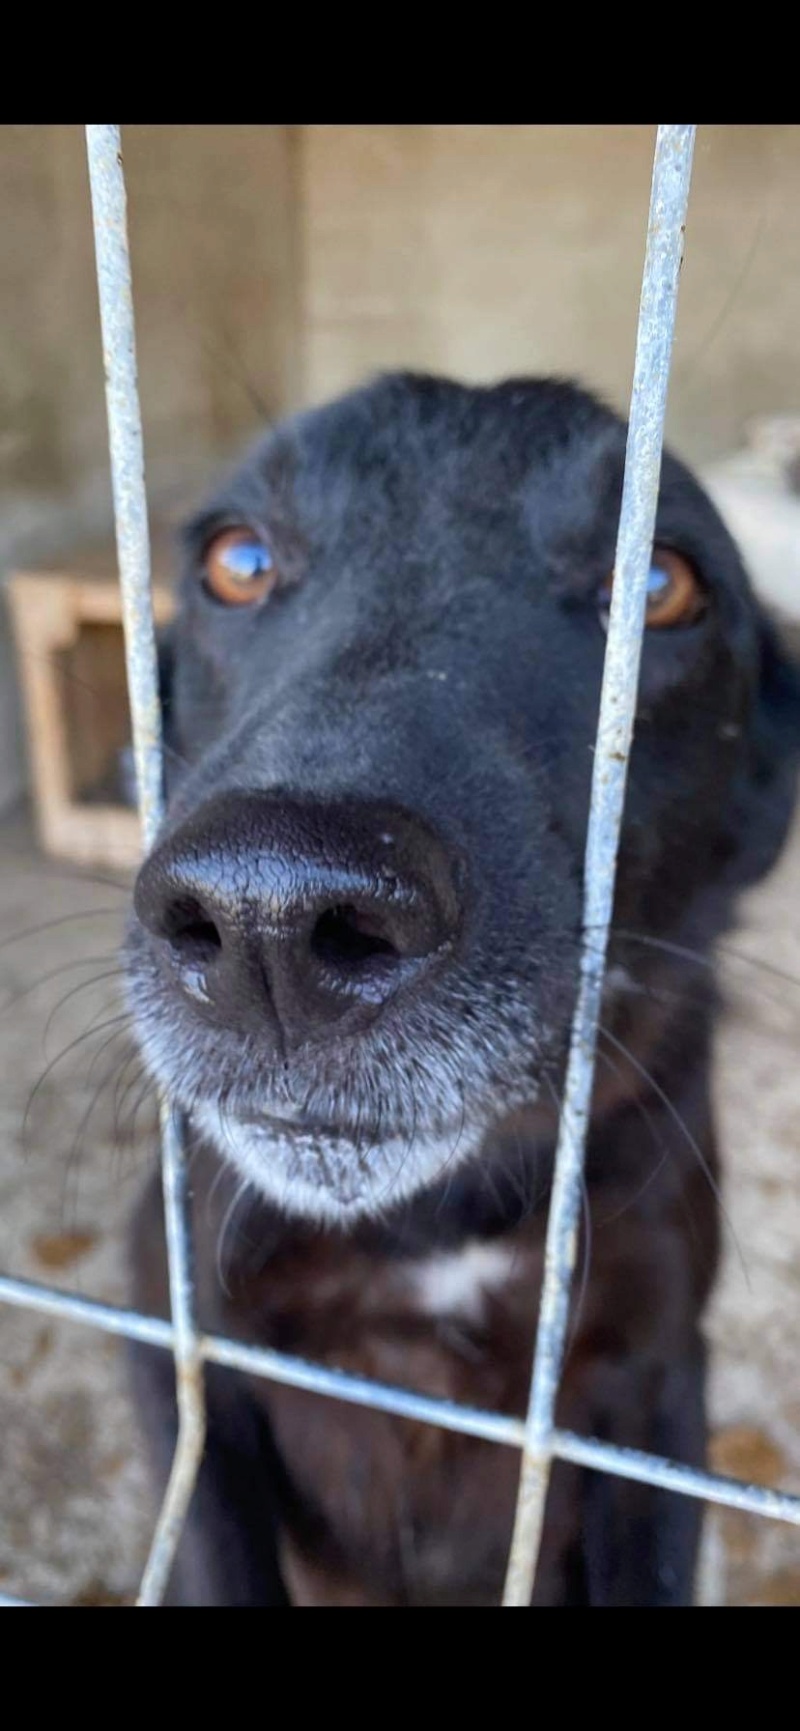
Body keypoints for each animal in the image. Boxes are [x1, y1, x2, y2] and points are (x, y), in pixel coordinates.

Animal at [124, 375, 800, 1606]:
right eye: (237, 561)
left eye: (657, 585)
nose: (269, 919)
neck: (430, 1220)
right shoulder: (181, 1340)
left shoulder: (652, 1387)